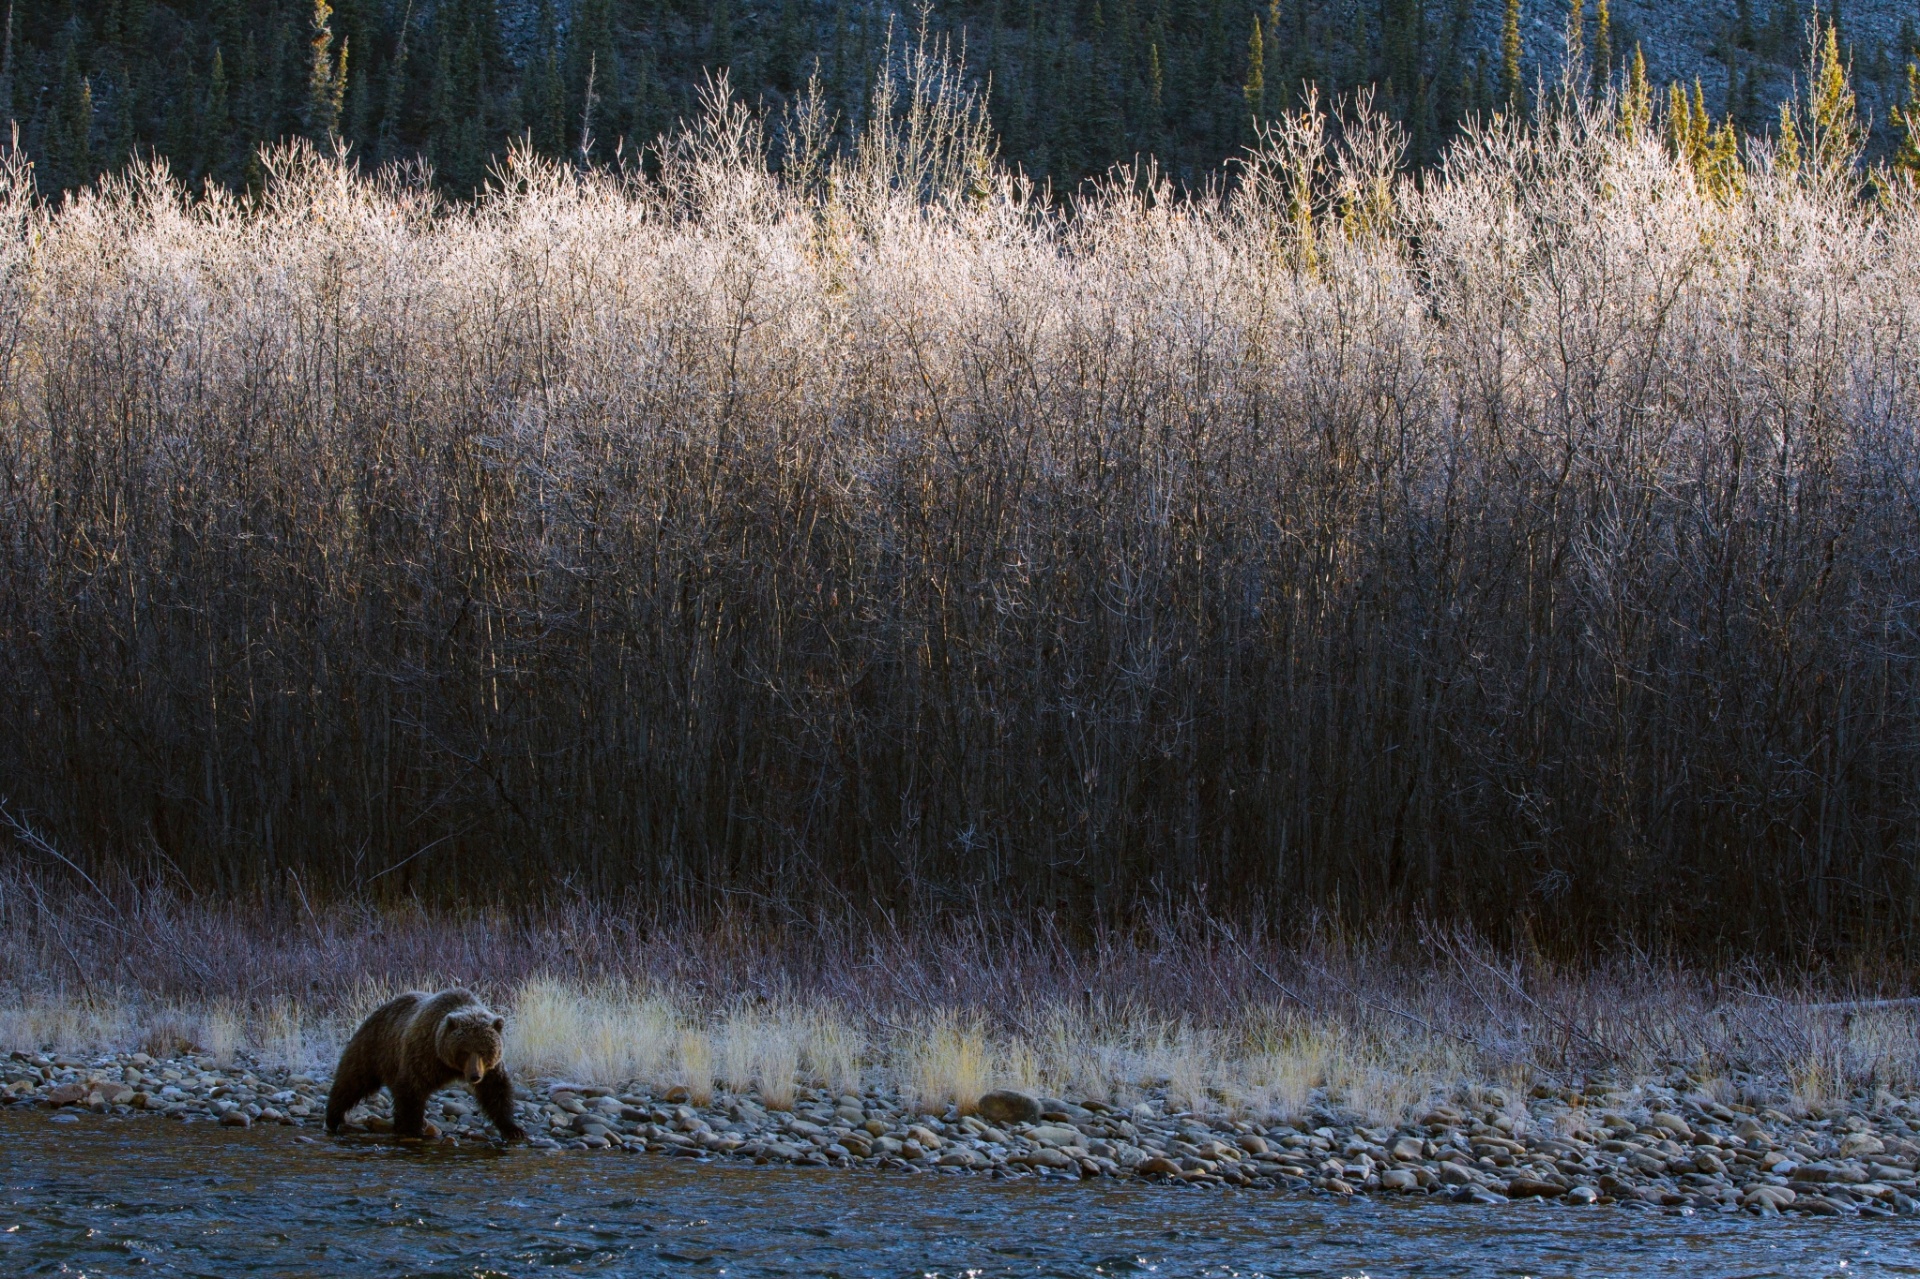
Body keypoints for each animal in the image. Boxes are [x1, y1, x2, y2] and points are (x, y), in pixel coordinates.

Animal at [326, 983, 529, 1136]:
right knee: (352, 1081)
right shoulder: (424, 1054)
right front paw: (412, 1128)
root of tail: (379, 1010)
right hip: (374, 1048)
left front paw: (513, 1129)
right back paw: (333, 1117)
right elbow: (411, 1089)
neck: (450, 1066)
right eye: (464, 1051)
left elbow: (496, 1091)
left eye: (484, 1051)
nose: (474, 1076)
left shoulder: (491, 1069)